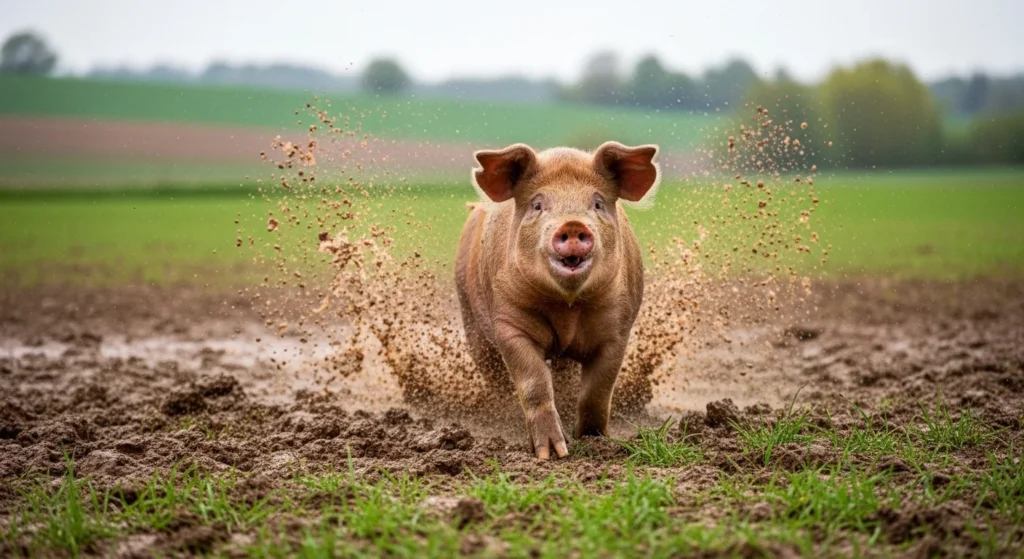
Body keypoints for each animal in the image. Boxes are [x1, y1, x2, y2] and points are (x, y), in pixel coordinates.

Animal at [454, 141, 660, 459]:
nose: (573, 224)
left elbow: (598, 389)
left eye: (597, 203)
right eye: (538, 205)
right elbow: (534, 384)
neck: (567, 310)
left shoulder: (618, 328)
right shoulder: (509, 324)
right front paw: (552, 453)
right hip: (470, 316)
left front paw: (594, 440)